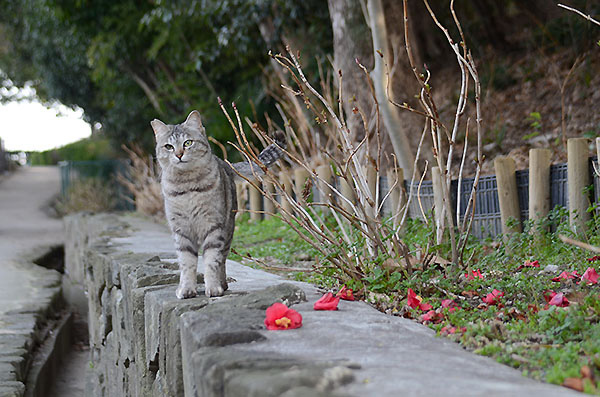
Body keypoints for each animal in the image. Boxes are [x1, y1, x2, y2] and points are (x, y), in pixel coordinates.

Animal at [151, 109, 284, 296]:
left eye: (187, 143)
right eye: (168, 147)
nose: (179, 155)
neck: (187, 186)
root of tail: (225, 163)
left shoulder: (213, 226)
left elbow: (211, 260)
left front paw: (213, 287)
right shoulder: (181, 230)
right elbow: (187, 262)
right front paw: (186, 289)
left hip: (228, 229)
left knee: (223, 260)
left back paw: (223, 284)